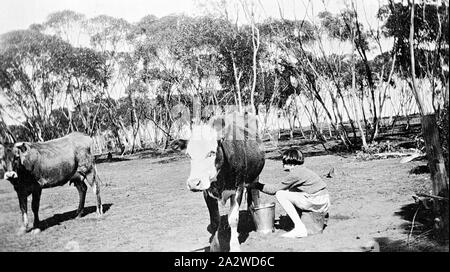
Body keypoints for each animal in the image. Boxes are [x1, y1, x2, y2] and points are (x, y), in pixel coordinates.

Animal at [171, 112, 264, 251]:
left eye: (211, 153)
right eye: (189, 155)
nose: (193, 183)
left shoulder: (238, 188)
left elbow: (233, 219)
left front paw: (235, 246)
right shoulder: (207, 192)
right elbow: (215, 221)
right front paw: (214, 247)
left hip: (255, 178)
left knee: (254, 196)